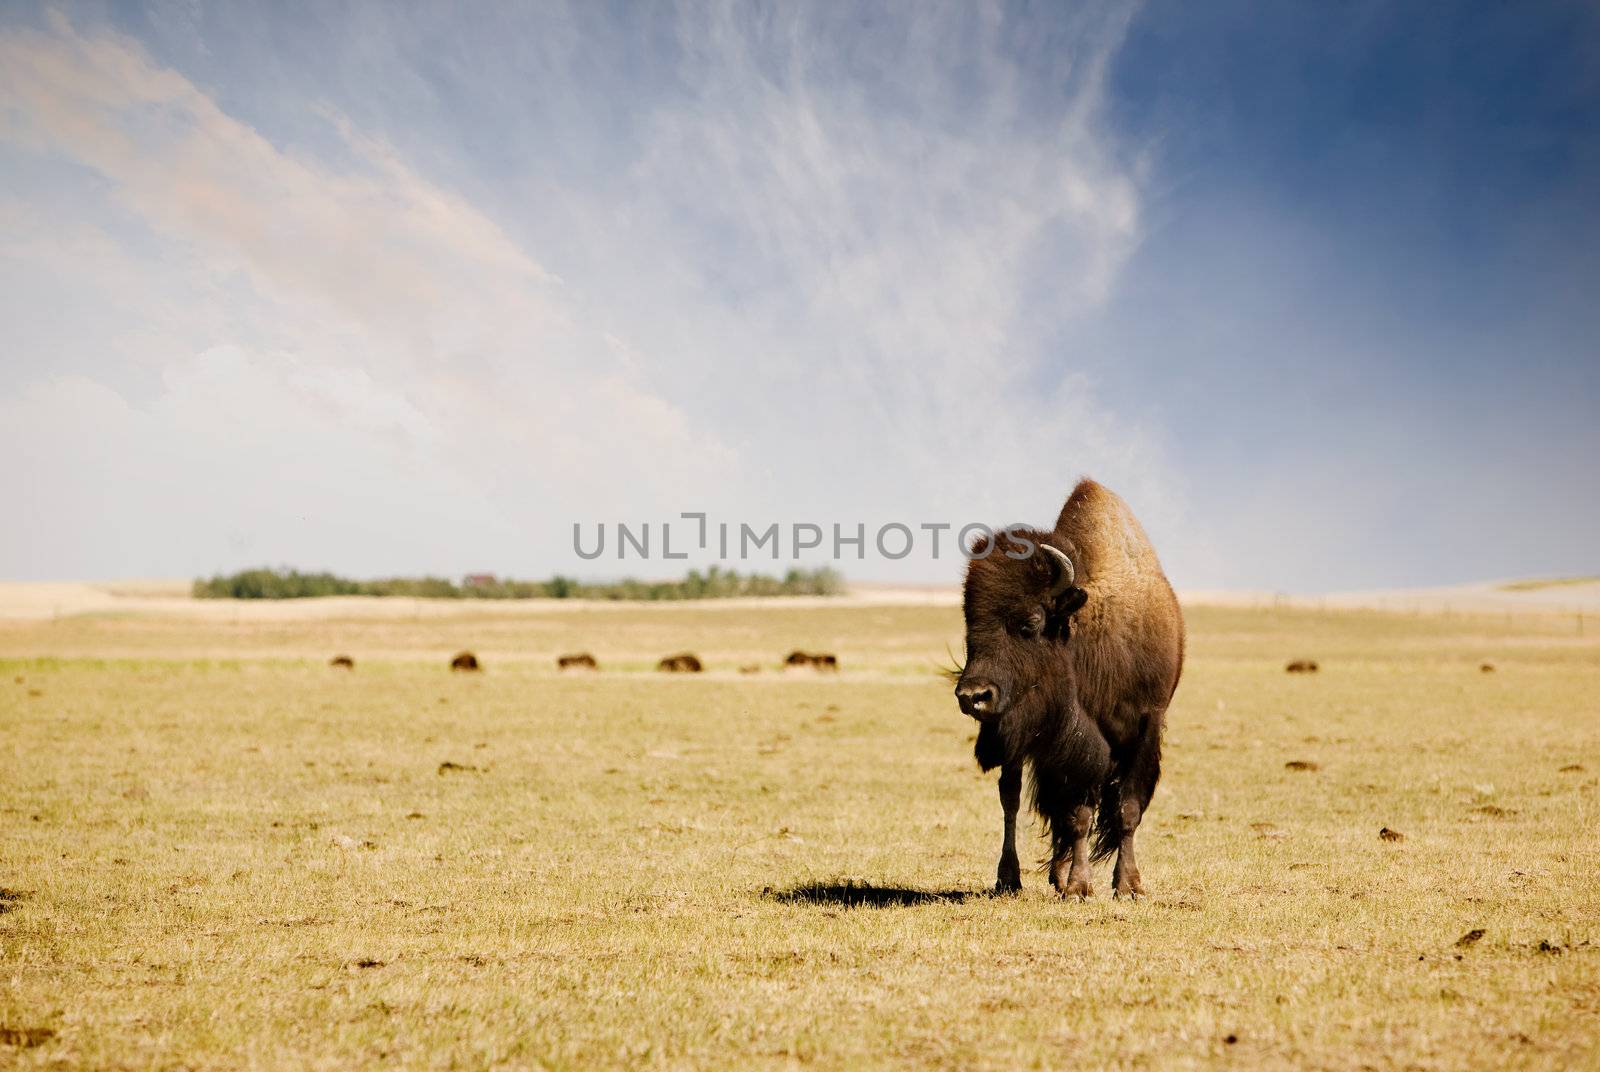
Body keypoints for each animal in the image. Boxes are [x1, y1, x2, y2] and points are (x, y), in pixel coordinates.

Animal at [953, 480, 1184, 896]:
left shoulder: (1146, 727)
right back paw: (1012, 878)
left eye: (1030, 622)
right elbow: (1076, 813)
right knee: (1013, 798)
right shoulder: (1073, 748)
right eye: (970, 625)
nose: (973, 696)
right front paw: (1078, 885)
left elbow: (1127, 809)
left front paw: (1128, 885)